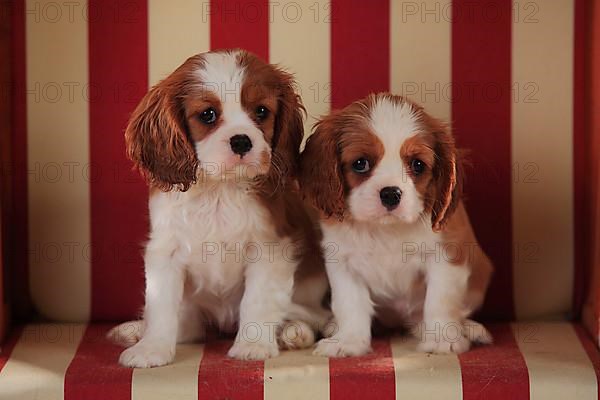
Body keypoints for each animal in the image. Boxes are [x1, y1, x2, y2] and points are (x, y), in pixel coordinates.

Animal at [110, 48, 330, 368]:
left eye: (261, 111)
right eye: (207, 115)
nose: (241, 140)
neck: (220, 189)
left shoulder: (270, 249)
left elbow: (257, 300)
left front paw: (253, 345)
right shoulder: (166, 252)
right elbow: (161, 304)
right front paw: (151, 348)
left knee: (313, 317)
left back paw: (294, 331)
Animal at [298, 93, 492, 356]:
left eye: (417, 165)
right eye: (360, 163)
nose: (391, 193)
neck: (385, 229)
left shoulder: (446, 256)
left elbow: (440, 300)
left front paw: (442, 339)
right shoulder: (343, 262)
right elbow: (350, 304)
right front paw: (348, 341)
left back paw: (469, 328)